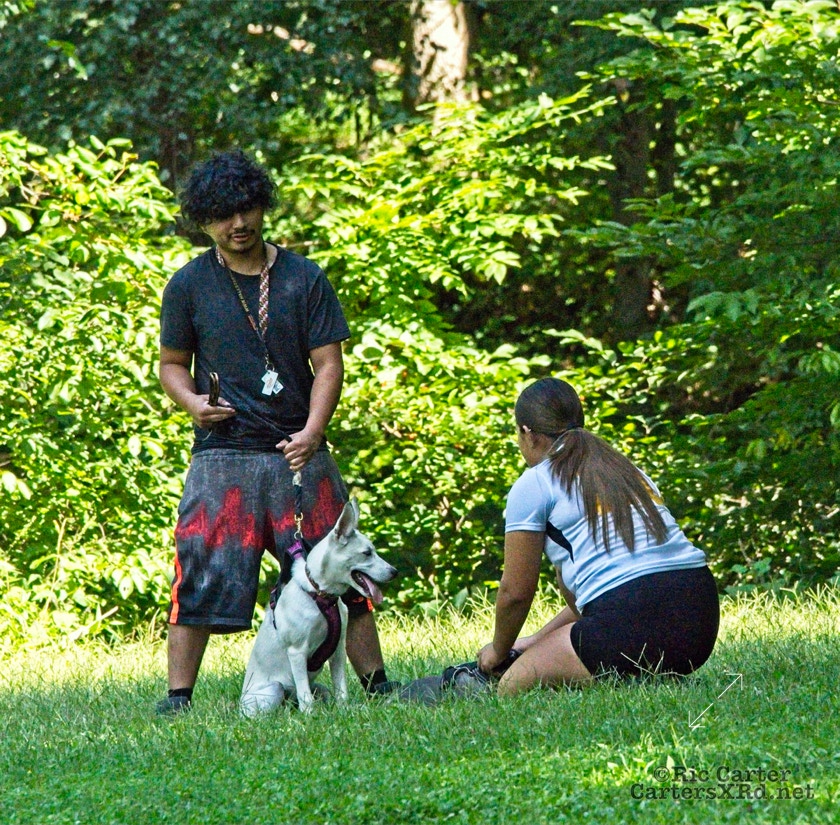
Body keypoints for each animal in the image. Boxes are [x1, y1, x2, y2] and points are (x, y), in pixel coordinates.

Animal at [240, 498, 396, 715]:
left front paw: (344, 710)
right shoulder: (297, 652)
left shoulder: (338, 650)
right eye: (366, 553)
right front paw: (309, 716)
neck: (322, 595)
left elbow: (340, 687)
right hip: (273, 689)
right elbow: (305, 694)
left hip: (320, 689)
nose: (394, 572)